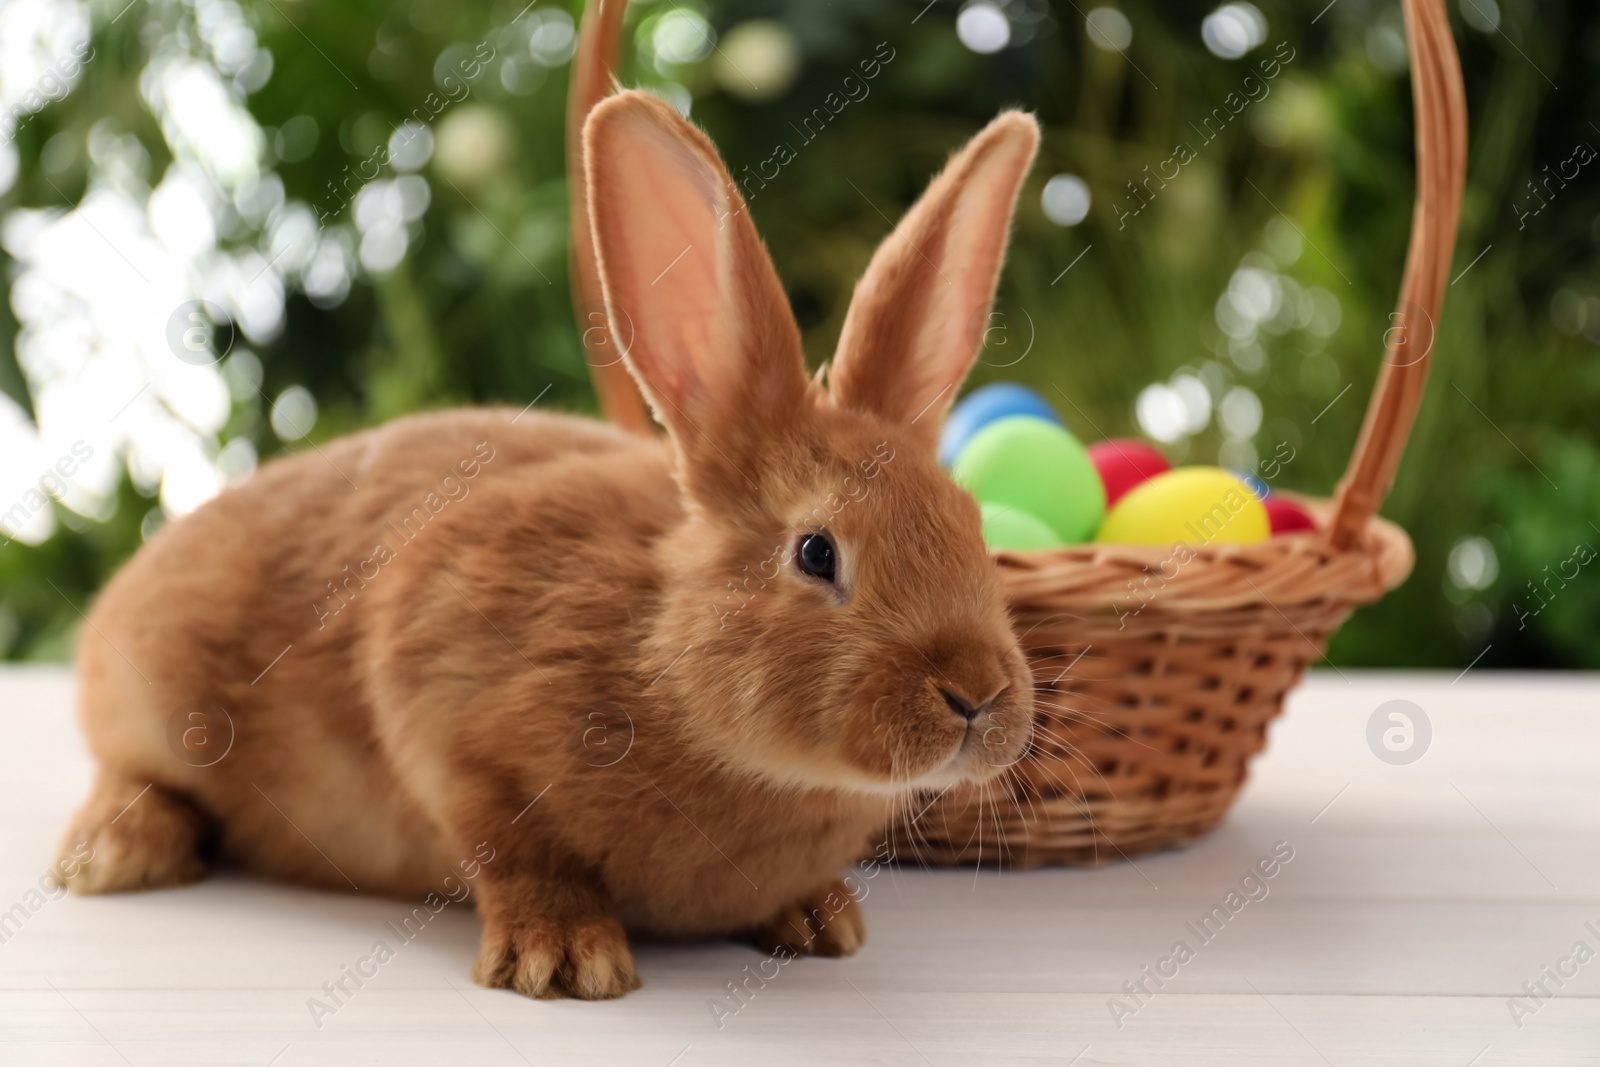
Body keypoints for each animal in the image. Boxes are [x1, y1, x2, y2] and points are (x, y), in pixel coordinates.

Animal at [50, 91, 1043, 1004]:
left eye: (973, 528)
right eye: (816, 553)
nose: (978, 694)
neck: (661, 659)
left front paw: (821, 918)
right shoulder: (439, 695)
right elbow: (511, 846)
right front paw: (563, 960)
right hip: (150, 698)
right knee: (128, 771)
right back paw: (111, 855)